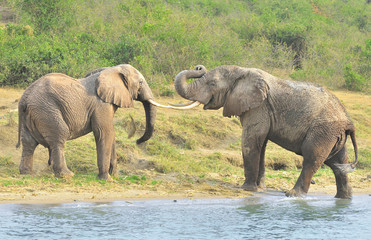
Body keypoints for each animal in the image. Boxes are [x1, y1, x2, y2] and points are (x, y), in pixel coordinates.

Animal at [16, 64, 186, 181]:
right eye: (141, 83)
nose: (137, 141)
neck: (112, 70)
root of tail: (24, 98)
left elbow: (111, 135)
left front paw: (114, 176)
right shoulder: (100, 105)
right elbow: (105, 133)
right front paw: (107, 179)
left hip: (33, 114)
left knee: (29, 142)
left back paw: (27, 174)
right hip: (47, 110)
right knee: (59, 136)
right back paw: (67, 175)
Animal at [173, 64, 358, 199]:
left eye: (212, 84)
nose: (199, 67)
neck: (241, 72)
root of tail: (349, 122)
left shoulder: (259, 107)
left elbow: (251, 141)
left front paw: (246, 189)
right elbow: (261, 145)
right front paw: (260, 188)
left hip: (323, 131)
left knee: (312, 159)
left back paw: (292, 194)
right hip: (334, 134)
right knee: (338, 162)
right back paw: (343, 199)